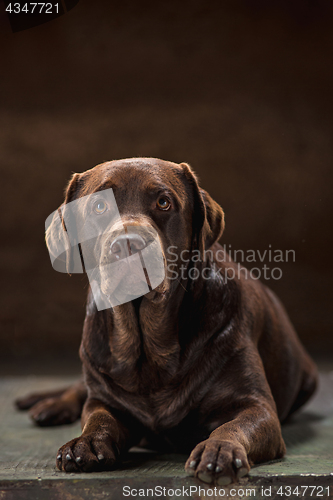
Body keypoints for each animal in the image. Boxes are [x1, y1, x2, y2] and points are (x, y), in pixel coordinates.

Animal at [16, 157, 316, 484]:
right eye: (99, 206)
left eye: (163, 202)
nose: (128, 244)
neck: (149, 348)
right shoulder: (104, 398)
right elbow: (97, 417)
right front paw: (85, 442)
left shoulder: (256, 406)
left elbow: (233, 425)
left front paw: (219, 449)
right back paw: (51, 405)